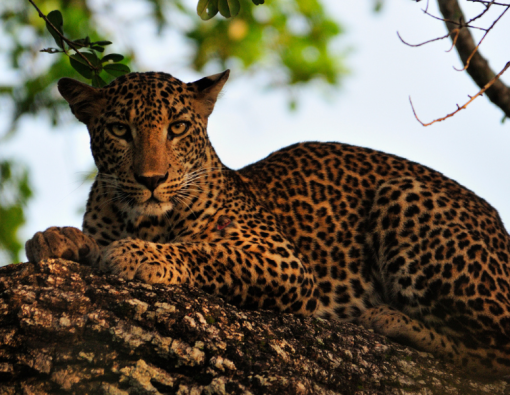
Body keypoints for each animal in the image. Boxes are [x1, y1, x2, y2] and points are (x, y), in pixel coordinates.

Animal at [24, 70, 510, 378]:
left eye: (177, 127)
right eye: (120, 131)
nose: (151, 180)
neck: (139, 220)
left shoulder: (282, 260)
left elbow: (206, 253)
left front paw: (135, 255)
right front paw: (56, 239)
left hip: (404, 193)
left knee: (495, 355)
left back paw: (393, 322)